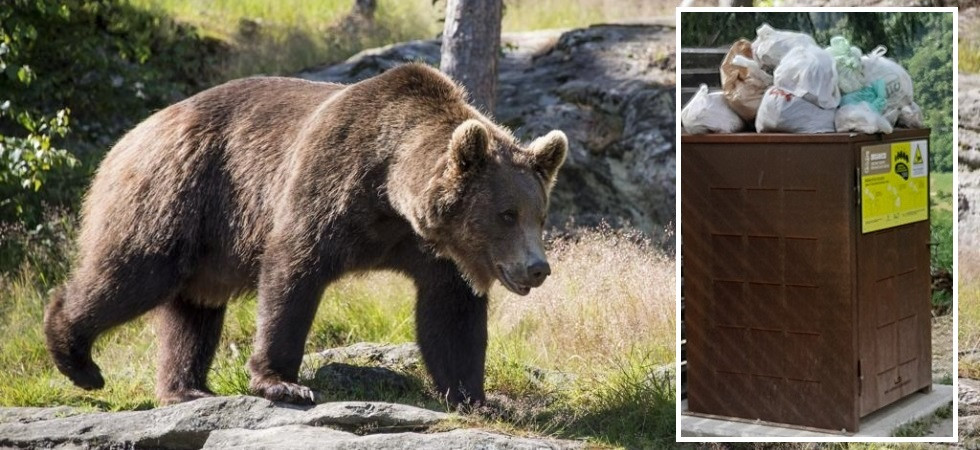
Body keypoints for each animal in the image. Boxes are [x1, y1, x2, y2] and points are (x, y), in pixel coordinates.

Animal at [43, 63, 567, 407]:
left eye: (540, 215)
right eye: (506, 213)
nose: (537, 269)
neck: (390, 193)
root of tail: (132, 134)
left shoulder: (433, 250)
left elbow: (451, 315)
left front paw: (475, 397)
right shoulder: (328, 186)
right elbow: (293, 273)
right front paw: (283, 382)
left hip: (206, 243)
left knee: (194, 310)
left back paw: (186, 387)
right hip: (176, 195)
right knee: (134, 274)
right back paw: (77, 358)